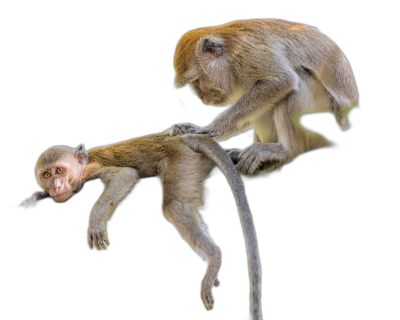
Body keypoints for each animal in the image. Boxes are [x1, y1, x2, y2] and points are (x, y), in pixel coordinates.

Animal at [19, 131, 262, 318]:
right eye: (47, 174)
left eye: (60, 171)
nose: (56, 186)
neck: (83, 167)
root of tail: (180, 139)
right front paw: (34, 197)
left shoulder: (93, 172)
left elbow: (124, 175)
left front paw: (96, 221)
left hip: (179, 160)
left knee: (174, 205)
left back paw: (214, 256)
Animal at [170, 18, 358, 175]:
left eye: (196, 80)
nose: (202, 97)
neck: (228, 55)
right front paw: (189, 128)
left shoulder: (245, 53)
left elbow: (282, 80)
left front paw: (216, 128)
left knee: (297, 78)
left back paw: (287, 151)